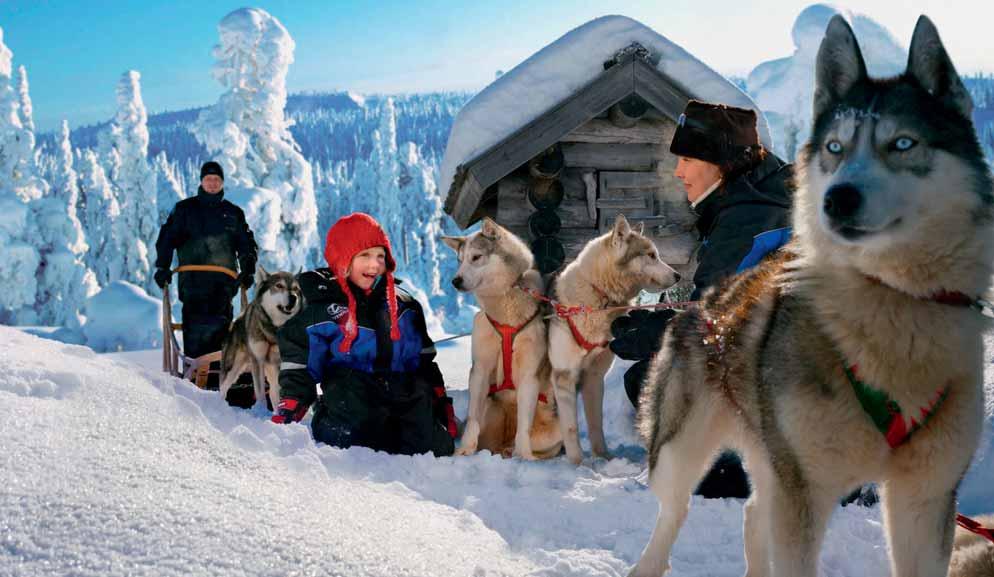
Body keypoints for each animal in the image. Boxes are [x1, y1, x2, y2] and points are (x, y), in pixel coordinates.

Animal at [220, 268, 302, 412]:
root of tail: (240, 316)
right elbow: (260, 393)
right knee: (223, 388)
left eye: (295, 289)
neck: (274, 330)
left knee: (274, 392)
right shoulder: (258, 360)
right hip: (232, 368)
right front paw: (261, 411)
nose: (293, 297)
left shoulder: (281, 363)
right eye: (279, 286)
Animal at [440, 219, 560, 460]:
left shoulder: (529, 376)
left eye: (476, 257)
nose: (455, 280)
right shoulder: (480, 370)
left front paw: (525, 457)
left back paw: (516, 451)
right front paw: (464, 450)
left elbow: (524, 427)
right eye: (459, 260)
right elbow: (473, 420)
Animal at [548, 214, 680, 466]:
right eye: (651, 255)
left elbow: (596, 424)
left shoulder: (594, 377)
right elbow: (570, 428)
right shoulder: (564, 377)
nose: (679, 276)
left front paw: (603, 458)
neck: (599, 296)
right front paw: (577, 464)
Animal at [628, 16, 992, 576]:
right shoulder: (804, 489)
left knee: (753, 511)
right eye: (834, 148)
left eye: (902, 144)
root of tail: (703, 302)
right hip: (683, 450)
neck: (890, 304)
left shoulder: (924, 497)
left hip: (769, 453)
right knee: (674, 512)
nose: (837, 198)